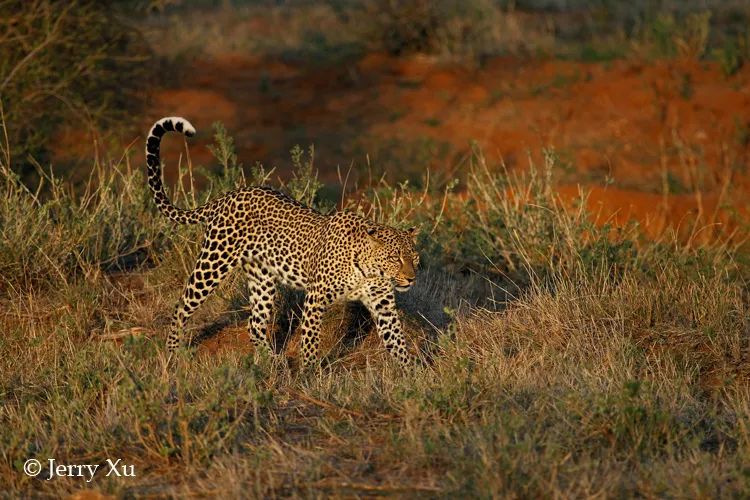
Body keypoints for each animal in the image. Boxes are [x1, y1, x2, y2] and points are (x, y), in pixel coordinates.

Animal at [144, 117, 420, 368]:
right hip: (213, 263)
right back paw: (173, 353)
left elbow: (397, 342)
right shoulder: (316, 297)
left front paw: (410, 374)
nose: (411, 279)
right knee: (181, 306)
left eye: (415, 259)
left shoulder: (383, 306)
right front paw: (309, 373)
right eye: (395, 258)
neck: (369, 271)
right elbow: (310, 340)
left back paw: (272, 362)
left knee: (254, 324)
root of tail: (229, 195)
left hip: (262, 278)